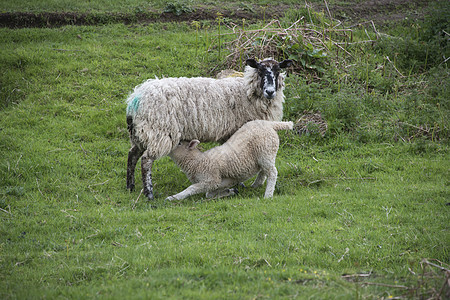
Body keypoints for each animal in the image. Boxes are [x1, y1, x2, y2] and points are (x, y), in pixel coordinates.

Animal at [125, 57, 292, 200]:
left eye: (278, 71)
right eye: (260, 70)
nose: (270, 91)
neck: (246, 91)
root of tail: (135, 98)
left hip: (141, 133)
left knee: (132, 155)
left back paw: (130, 186)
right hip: (159, 131)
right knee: (146, 160)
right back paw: (149, 193)